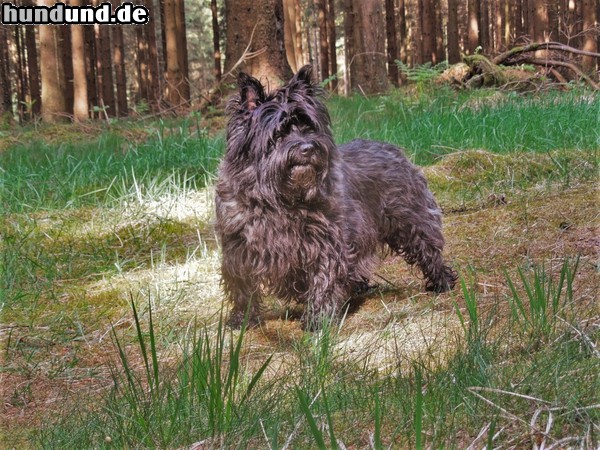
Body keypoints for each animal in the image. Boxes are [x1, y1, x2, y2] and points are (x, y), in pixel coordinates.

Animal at [216, 65, 454, 328]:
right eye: (277, 134)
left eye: (309, 127)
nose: (307, 148)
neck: (280, 199)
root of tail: (393, 149)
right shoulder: (238, 249)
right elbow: (242, 286)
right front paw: (242, 318)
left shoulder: (325, 242)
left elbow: (324, 278)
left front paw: (318, 319)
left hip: (411, 220)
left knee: (428, 250)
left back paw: (442, 281)